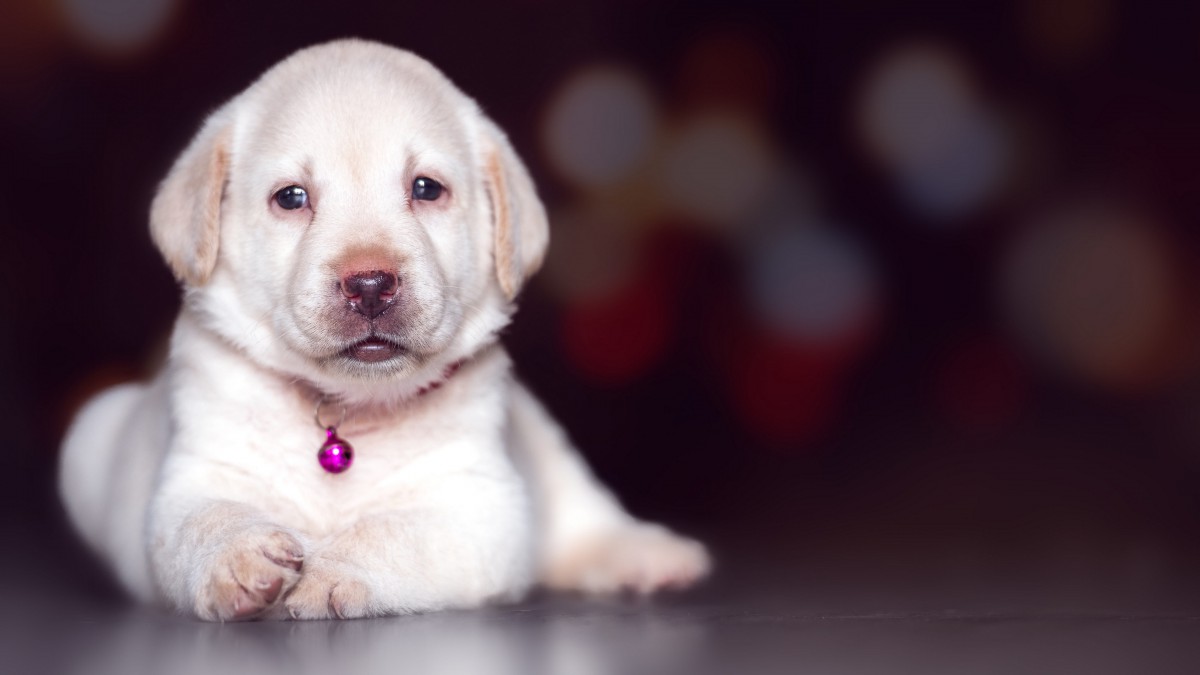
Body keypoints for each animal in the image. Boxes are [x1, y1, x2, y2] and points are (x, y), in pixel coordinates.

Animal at [56, 40, 705, 619]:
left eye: (425, 188)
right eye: (291, 197)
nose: (369, 285)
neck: (343, 415)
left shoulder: (480, 508)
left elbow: (391, 532)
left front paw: (335, 570)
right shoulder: (192, 479)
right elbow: (202, 520)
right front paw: (237, 557)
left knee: (583, 512)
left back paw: (645, 553)